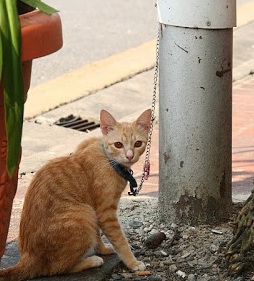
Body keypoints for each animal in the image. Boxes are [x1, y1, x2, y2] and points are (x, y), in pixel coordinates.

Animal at [0, 109, 151, 280]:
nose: (129, 156)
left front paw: (103, 249)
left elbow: (97, 234)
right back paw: (91, 261)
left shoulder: (96, 211)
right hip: (83, 214)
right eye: (118, 144)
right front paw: (132, 263)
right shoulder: (105, 213)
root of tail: (28, 257)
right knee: (56, 268)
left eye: (138, 143)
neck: (109, 160)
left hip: (88, 213)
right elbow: (120, 240)